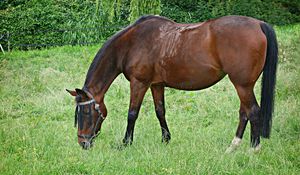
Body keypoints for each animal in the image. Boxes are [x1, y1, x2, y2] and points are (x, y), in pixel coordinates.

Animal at [67, 15, 278, 151]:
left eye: (86, 112)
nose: (83, 143)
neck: (131, 43)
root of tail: (259, 23)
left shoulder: (139, 83)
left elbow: (132, 114)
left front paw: (126, 143)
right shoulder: (156, 84)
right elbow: (160, 111)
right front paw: (166, 139)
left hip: (242, 85)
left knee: (253, 111)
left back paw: (253, 149)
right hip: (244, 85)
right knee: (244, 113)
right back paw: (233, 147)